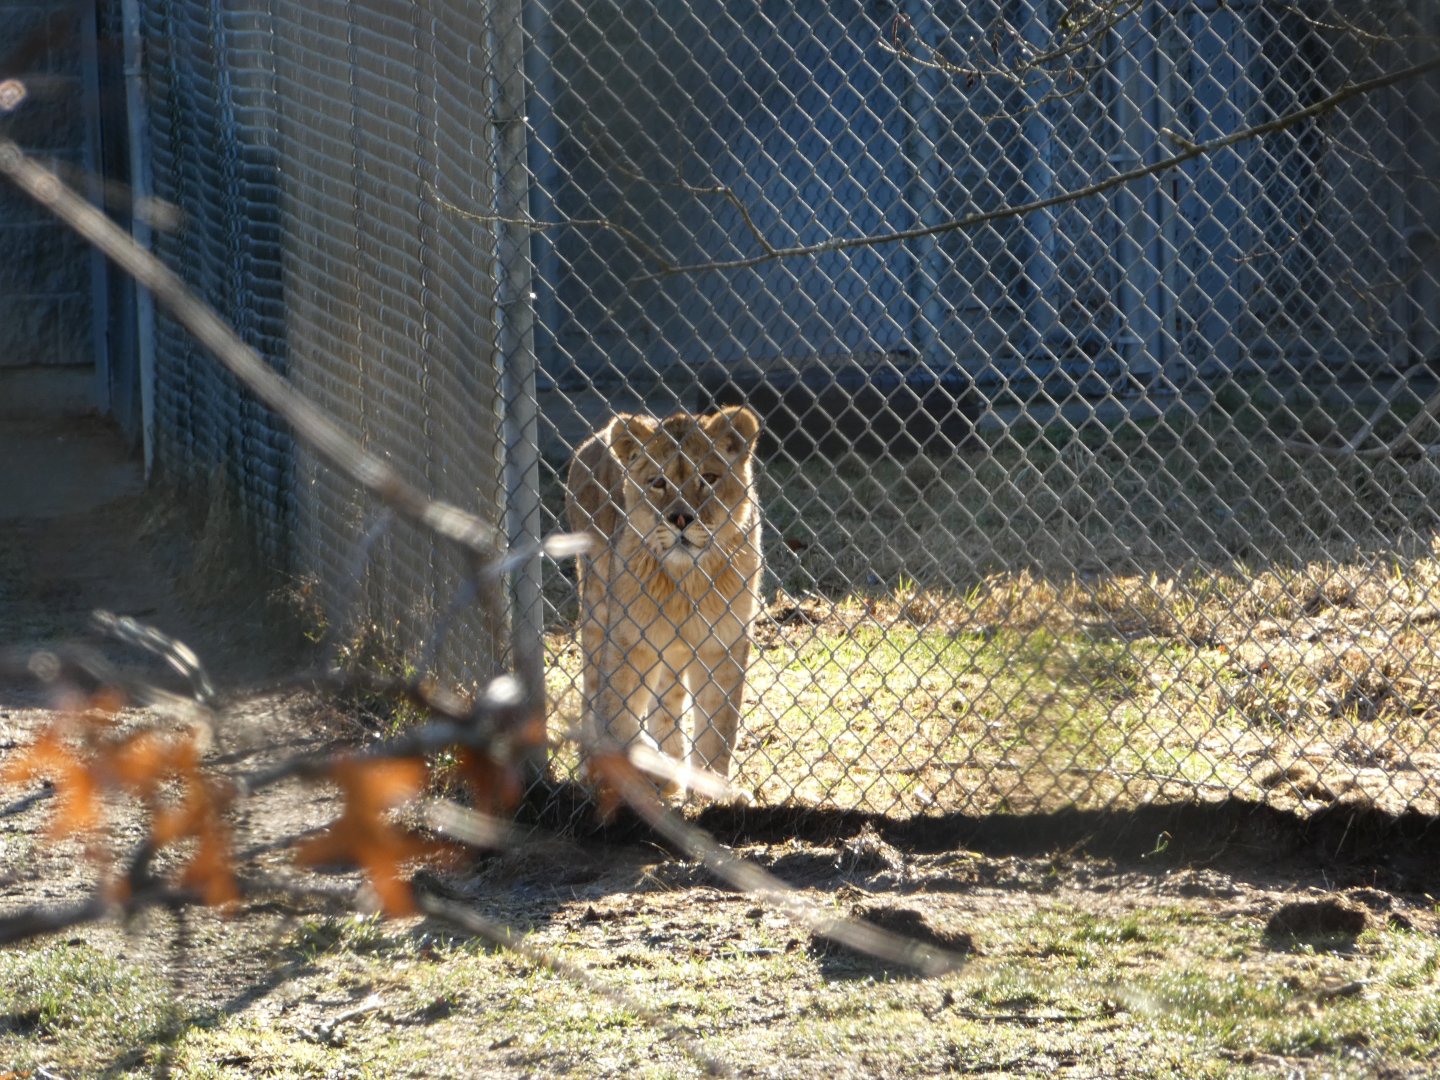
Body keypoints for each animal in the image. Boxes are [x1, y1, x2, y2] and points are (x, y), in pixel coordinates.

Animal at [565, 405, 763, 789]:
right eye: (658, 482)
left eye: (709, 478)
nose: (681, 518)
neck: (686, 581)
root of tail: (594, 439)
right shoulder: (629, 638)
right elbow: (617, 713)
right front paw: (635, 771)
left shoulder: (724, 641)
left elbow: (719, 727)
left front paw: (714, 789)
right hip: (596, 605)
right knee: (591, 688)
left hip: (673, 649)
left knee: (666, 705)